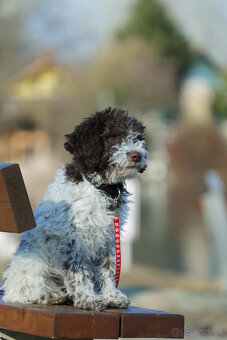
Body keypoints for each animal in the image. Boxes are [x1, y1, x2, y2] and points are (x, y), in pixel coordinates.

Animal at [2, 107, 148, 310]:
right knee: (26, 292)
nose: (136, 155)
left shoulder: (108, 237)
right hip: (33, 267)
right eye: (112, 137)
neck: (99, 188)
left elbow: (108, 268)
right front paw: (89, 298)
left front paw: (111, 296)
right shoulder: (73, 238)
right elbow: (79, 270)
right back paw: (54, 295)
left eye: (137, 136)